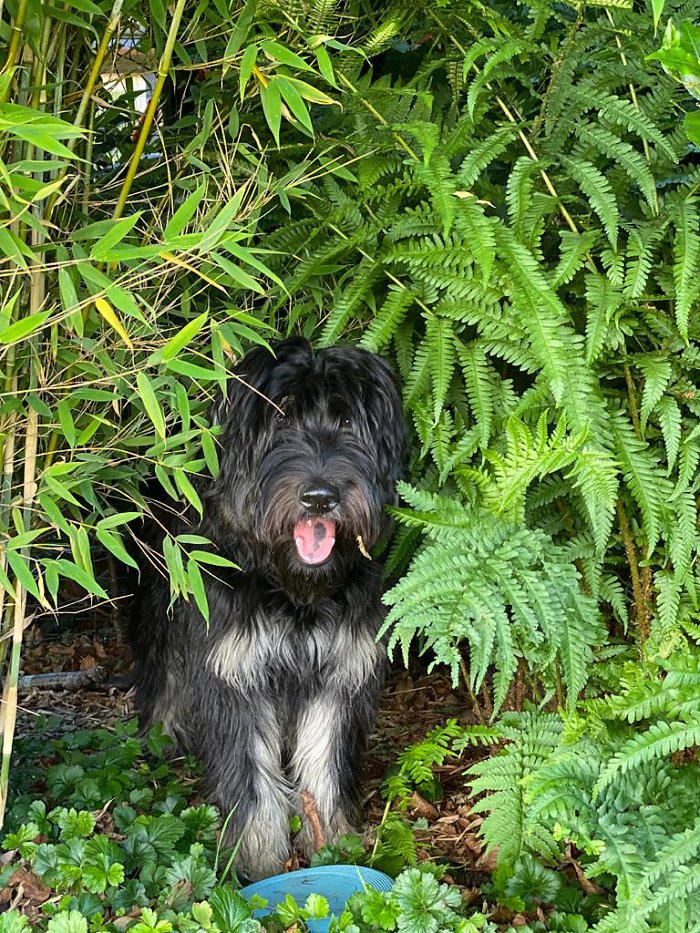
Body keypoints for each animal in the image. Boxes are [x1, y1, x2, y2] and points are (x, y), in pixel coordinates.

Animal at [129, 338, 408, 876]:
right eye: (280, 424)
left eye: (347, 421)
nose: (320, 497)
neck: (293, 589)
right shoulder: (236, 671)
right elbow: (252, 776)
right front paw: (256, 858)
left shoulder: (339, 670)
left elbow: (324, 763)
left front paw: (332, 843)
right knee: (161, 674)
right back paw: (161, 736)